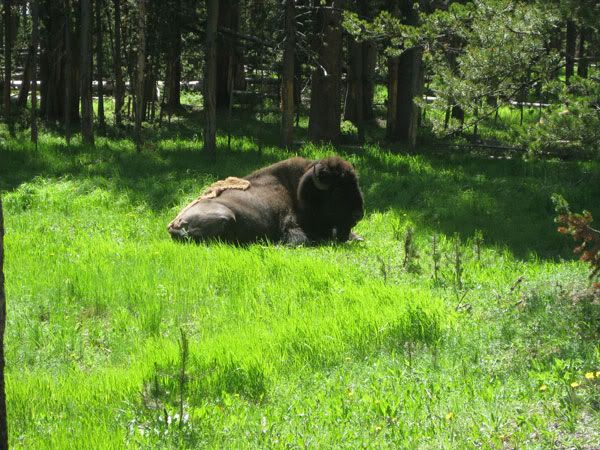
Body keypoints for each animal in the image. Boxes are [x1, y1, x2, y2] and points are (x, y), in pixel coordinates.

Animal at [169, 156, 366, 246]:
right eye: (337, 191)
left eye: (356, 184)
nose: (358, 214)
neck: (297, 191)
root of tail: (174, 224)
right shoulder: (290, 226)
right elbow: (303, 239)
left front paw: (358, 237)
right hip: (226, 217)